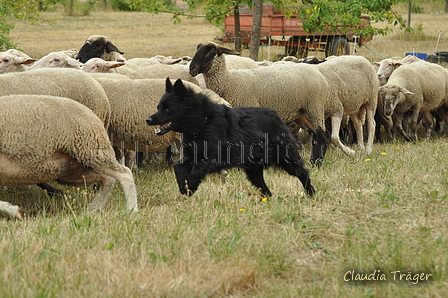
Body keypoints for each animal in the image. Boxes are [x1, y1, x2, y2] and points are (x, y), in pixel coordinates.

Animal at [0, 95, 138, 219]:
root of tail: (91, 113)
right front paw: (13, 211)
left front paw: (14, 211)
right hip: (70, 170)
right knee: (108, 179)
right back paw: (92, 210)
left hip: (91, 149)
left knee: (124, 174)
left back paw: (131, 210)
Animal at [146, 78, 316, 197]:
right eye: (158, 107)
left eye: (167, 109)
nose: (148, 120)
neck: (203, 121)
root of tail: (277, 115)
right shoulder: (193, 153)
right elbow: (179, 166)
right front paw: (184, 186)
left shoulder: (218, 156)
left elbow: (198, 168)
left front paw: (192, 185)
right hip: (253, 169)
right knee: (264, 187)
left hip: (286, 158)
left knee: (302, 173)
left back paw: (311, 193)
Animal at [187, 41, 330, 163]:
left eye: (211, 50)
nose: (191, 68)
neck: (229, 81)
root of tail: (320, 75)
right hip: (301, 111)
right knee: (314, 134)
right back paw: (313, 160)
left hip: (314, 105)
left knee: (321, 135)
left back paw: (317, 163)